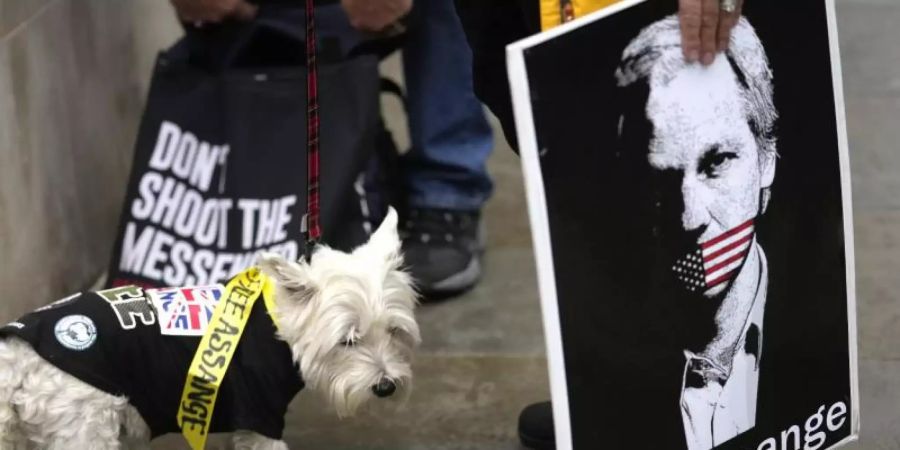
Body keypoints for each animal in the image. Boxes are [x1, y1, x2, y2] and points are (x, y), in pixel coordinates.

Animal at [0, 208, 418, 450]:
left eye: (394, 332)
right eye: (348, 341)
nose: (386, 387)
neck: (277, 325)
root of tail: (18, 355)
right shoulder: (260, 414)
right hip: (82, 430)